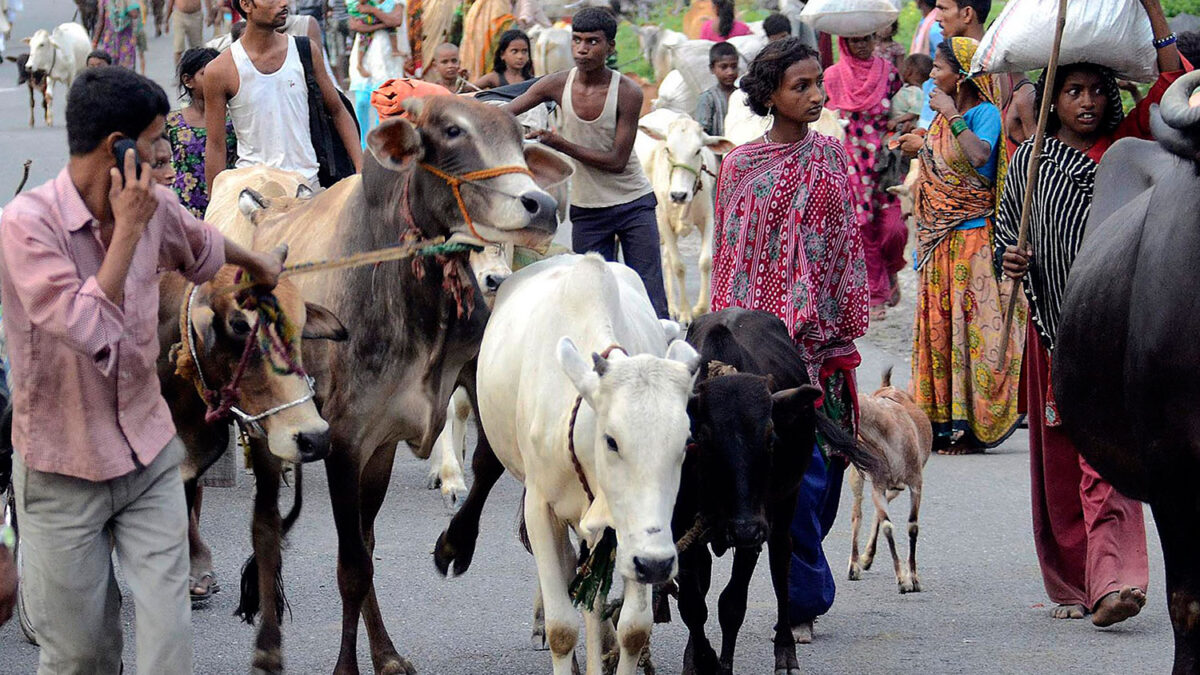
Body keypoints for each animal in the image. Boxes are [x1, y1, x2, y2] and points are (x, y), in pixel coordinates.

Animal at [477, 253, 700, 672]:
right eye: (612, 440)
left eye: (685, 442)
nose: (657, 564)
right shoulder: (540, 507)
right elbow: (562, 629)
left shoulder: (630, 533)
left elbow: (633, 629)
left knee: (594, 604)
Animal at [638, 108, 729, 324]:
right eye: (668, 150)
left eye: (697, 151)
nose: (678, 195)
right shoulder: (662, 221)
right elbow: (679, 266)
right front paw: (687, 313)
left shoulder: (708, 218)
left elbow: (705, 261)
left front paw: (701, 309)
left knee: (666, 259)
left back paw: (673, 307)